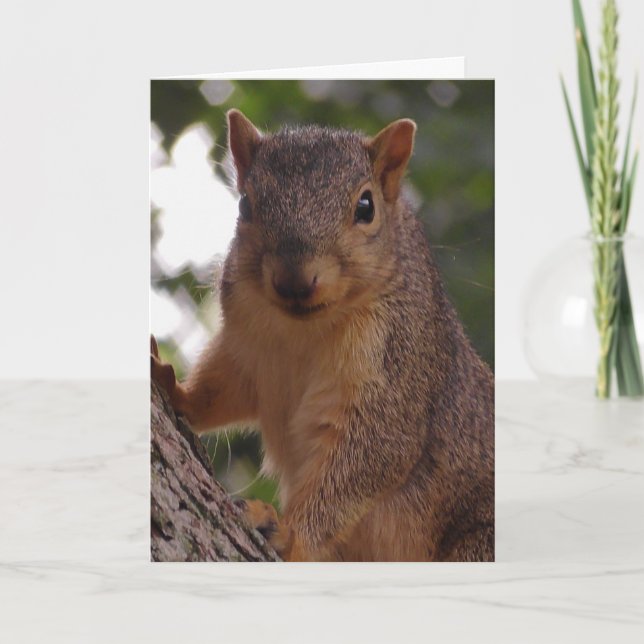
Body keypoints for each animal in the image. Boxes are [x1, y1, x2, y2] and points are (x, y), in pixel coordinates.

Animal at [151, 109, 494, 562]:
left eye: (366, 206)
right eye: (245, 204)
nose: (295, 281)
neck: (302, 334)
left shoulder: (396, 371)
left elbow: (369, 458)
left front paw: (289, 533)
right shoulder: (246, 347)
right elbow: (222, 390)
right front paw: (170, 385)